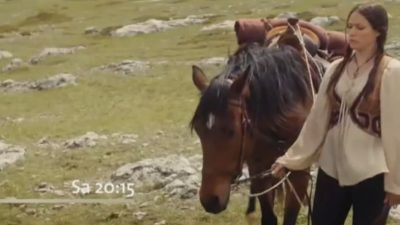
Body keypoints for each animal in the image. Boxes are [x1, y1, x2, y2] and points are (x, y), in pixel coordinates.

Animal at [189, 20, 326, 224]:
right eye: (198, 131)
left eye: (231, 131)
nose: (210, 201)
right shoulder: (258, 170)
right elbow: (268, 216)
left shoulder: (299, 174)